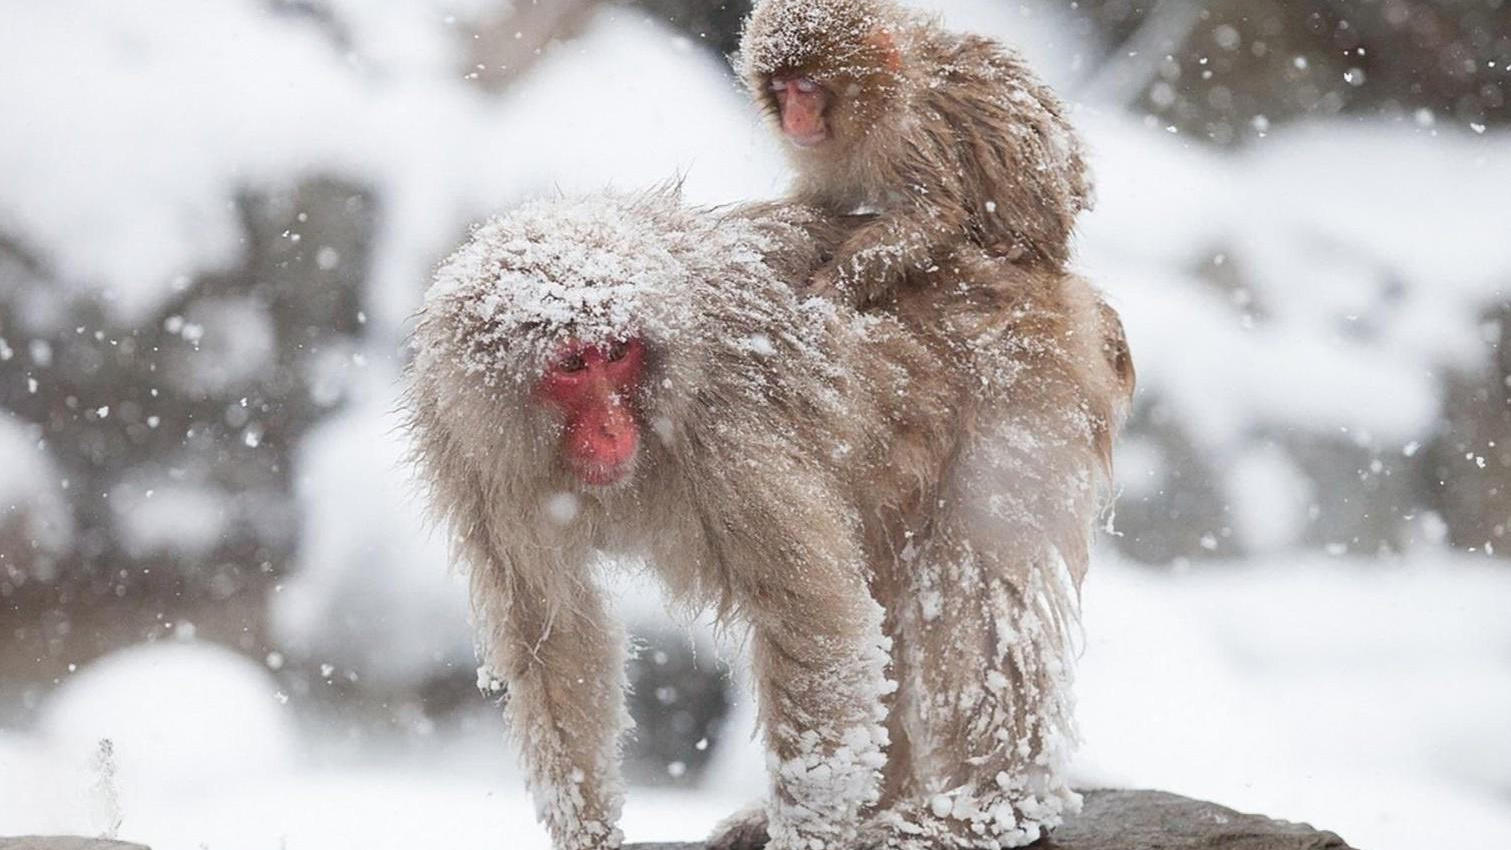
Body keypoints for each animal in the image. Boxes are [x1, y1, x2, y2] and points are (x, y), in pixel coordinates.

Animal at [407, 193, 1130, 850]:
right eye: (572, 364)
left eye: (618, 353)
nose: (612, 427)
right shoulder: (473, 459)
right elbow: (553, 630)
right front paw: (586, 830)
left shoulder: (730, 431)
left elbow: (816, 622)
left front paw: (805, 834)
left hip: (1018, 397)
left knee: (971, 585)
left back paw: (984, 810)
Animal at [737, 0, 1093, 306]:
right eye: (781, 89)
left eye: (806, 87)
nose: (793, 120)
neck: (880, 104)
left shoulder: (905, 136)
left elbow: (929, 215)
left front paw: (839, 281)